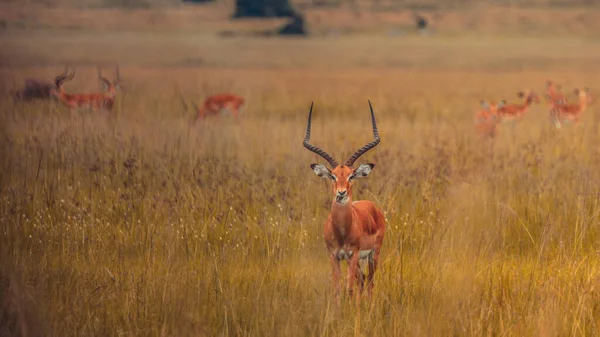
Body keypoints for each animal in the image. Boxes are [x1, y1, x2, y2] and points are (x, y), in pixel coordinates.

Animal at [302, 100, 386, 296]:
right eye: (333, 176)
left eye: (351, 176)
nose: (341, 193)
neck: (342, 231)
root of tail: (374, 208)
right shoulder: (334, 256)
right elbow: (337, 289)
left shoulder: (352, 255)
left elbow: (349, 289)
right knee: (363, 280)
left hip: (373, 254)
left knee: (370, 282)